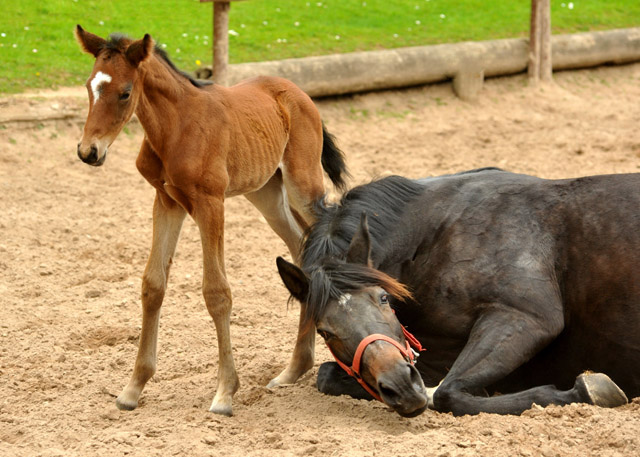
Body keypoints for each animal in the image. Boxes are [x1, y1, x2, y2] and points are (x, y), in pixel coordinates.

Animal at [75, 25, 350, 416]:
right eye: (89, 87)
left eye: (125, 93)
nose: (89, 152)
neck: (175, 128)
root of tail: (299, 93)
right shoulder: (166, 201)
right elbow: (153, 285)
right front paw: (133, 388)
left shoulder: (210, 203)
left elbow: (216, 292)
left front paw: (224, 393)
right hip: (266, 193)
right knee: (301, 250)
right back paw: (293, 369)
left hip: (303, 186)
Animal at [278, 168, 636, 416]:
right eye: (325, 332)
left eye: (382, 298)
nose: (401, 387)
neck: (435, 234)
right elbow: (327, 375)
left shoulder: (525, 317)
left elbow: (447, 393)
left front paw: (586, 390)